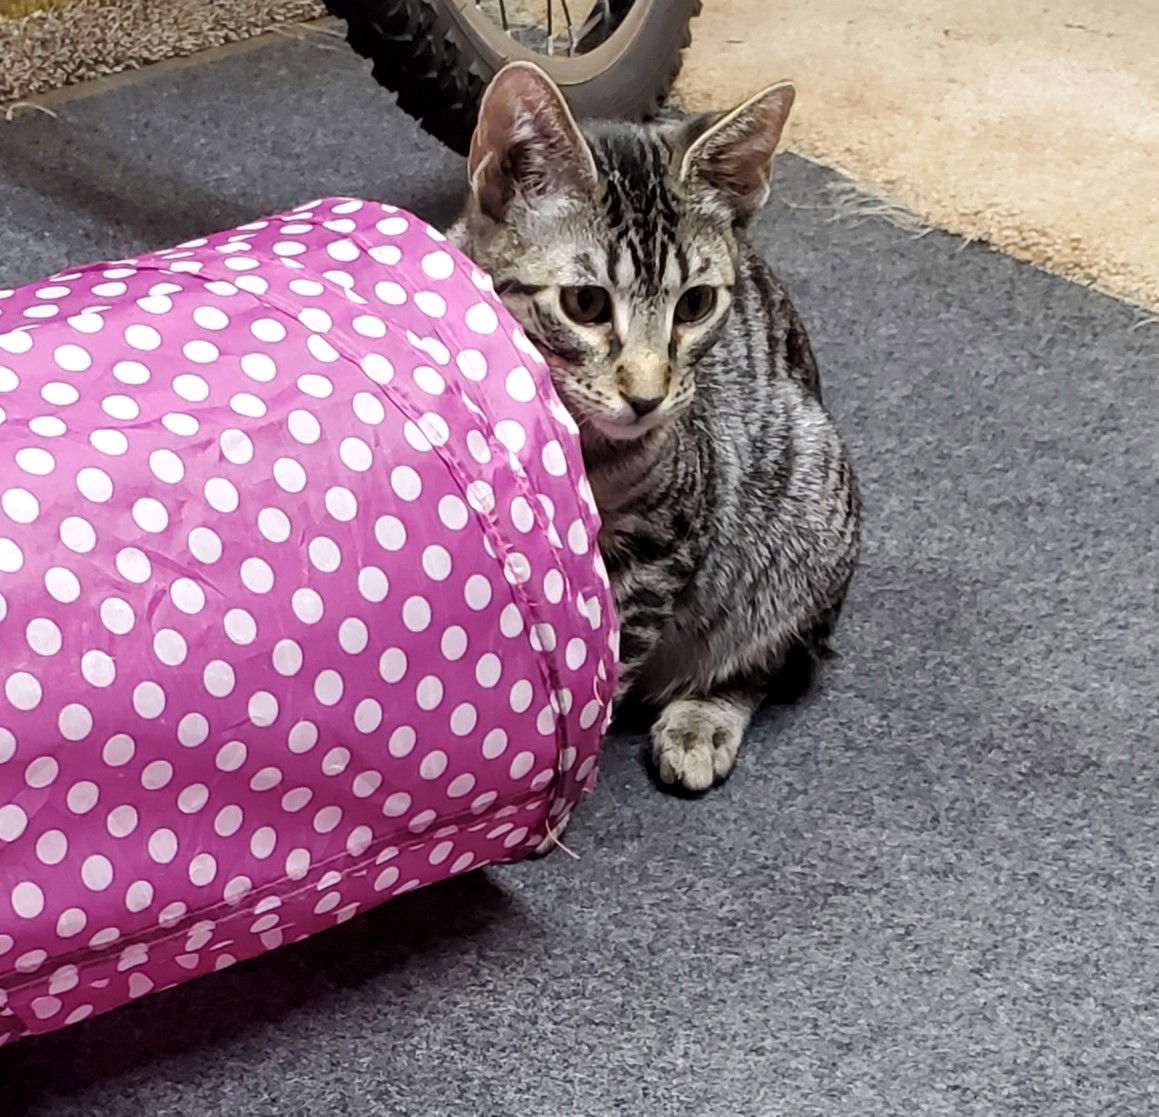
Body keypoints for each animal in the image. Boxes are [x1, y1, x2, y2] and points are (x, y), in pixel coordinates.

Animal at [445, 63, 862, 792]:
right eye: (584, 303)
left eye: (694, 304)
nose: (646, 396)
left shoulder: (666, 540)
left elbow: (612, 653)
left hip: (806, 502)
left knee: (773, 661)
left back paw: (703, 717)